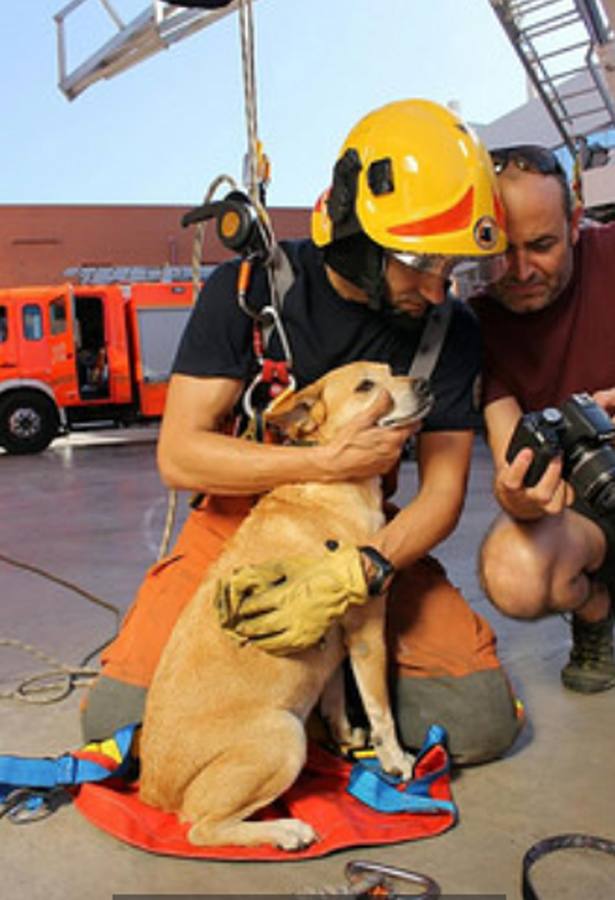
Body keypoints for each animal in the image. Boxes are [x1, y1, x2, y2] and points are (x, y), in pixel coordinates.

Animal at [142, 360, 436, 852]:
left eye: (392, 370)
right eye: (366, 386)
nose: (426, 383)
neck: (331, 487)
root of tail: (152, 791)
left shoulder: (332, 640)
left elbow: (335, 698)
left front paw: (345, 738)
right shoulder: (366, 633)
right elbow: (380, 709)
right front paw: (395, 760)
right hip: (284, 736)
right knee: (201, 828)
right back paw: (285, 830)